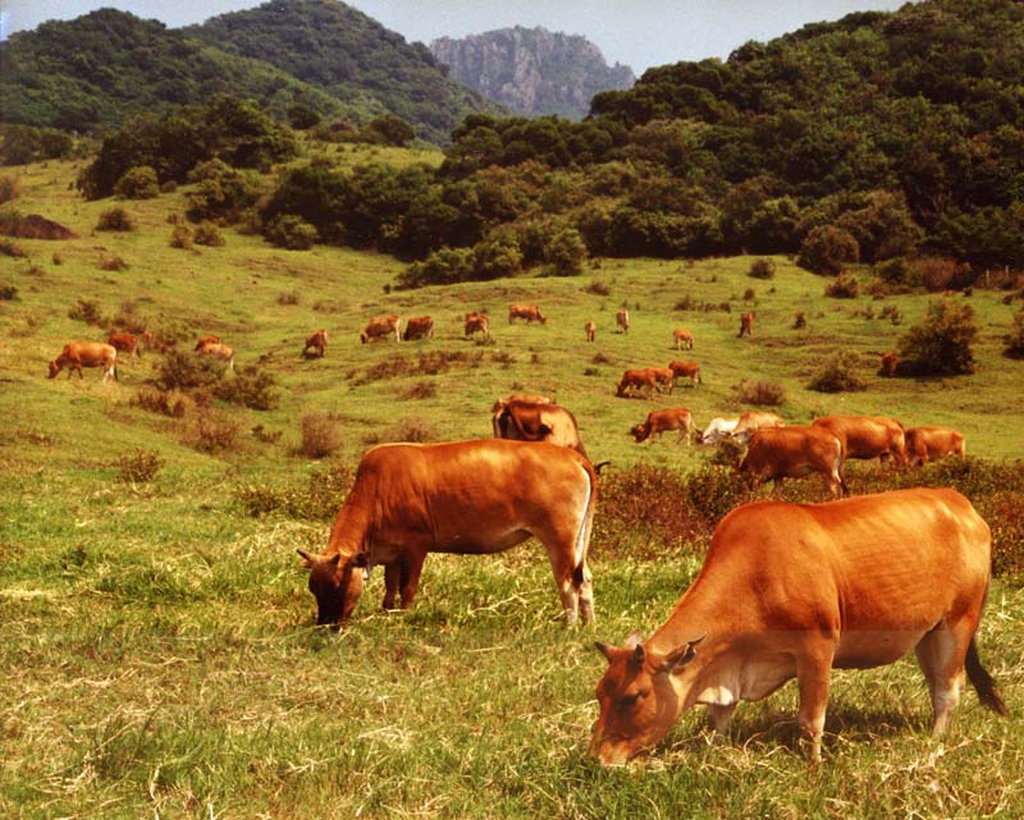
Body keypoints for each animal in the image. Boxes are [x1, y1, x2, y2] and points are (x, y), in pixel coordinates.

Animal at [294, 442, 598, 626]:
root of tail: (572, 455)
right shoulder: (393, 552)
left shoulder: (417, 545)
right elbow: (390, 587)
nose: (326, 626)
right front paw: (387, 613)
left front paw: (403, 618)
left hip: (559, 538)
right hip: (577, 542)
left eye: (338, 586)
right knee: (584, 579)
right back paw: (588, 625)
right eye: (313, 588)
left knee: (568, 582)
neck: (377, 488)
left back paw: (569, 626)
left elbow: (407, 588)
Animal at [589, 483, 1003, 765]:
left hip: (957, 623)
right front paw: (713, 750)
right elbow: (719, 716)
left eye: (634, 696)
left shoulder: (817, 650)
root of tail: (962, 505)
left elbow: (811, 719)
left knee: (948, 689)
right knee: (936, 684)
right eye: (600, 692)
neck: (756, 572)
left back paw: (935, 743)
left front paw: (813, 766)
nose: (596, 758)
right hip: (926, 633)